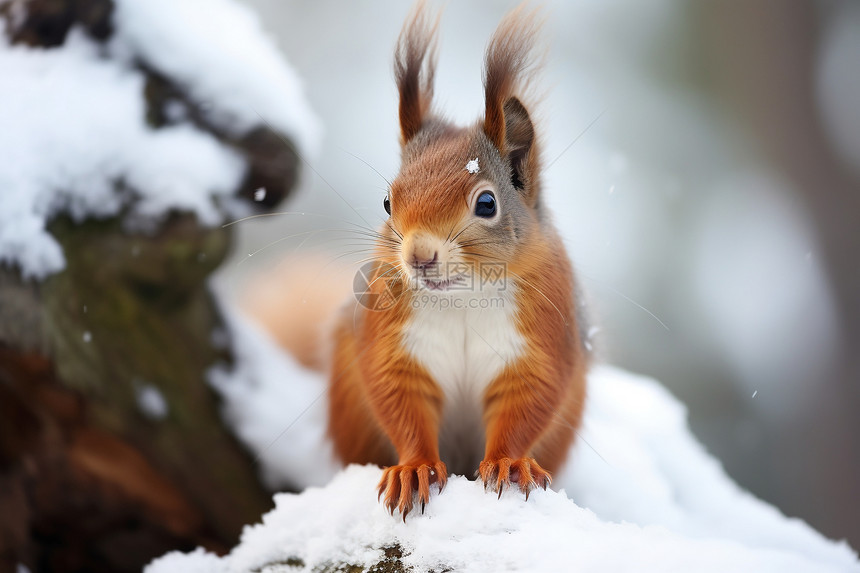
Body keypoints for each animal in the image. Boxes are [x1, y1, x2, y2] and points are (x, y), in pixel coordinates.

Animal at [322, 1, 592, 520]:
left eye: (486, 204)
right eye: (387, 202)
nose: (419, 256)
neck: (465, 297)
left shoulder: (542, 335)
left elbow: (527, 402)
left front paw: (509, 463)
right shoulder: (394, 341)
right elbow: (401, 401)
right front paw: (413, 470)